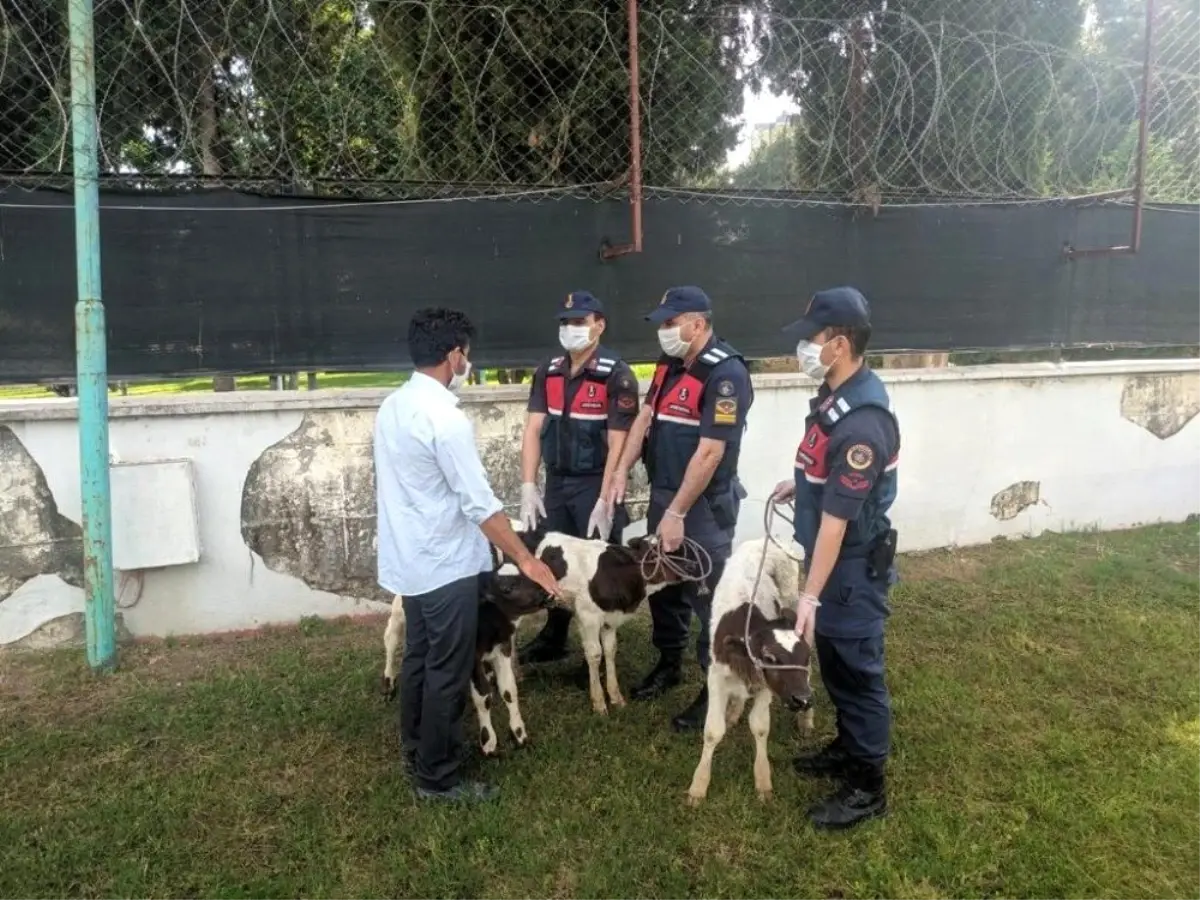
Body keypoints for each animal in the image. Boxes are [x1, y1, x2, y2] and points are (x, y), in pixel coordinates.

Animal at [523, 532, 686, 715]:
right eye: (653, 554)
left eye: (677, 549)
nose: (691, 567)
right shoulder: (588, 616)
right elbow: (595, 654)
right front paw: (599, 703)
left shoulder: (610, 618)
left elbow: (610, 650)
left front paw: (616, 698)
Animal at [686, 540, 816, 806]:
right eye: (770, 658)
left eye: (805, 657)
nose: (803, 699)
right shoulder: (716, 677)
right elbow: (713, 731)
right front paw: (699, 785)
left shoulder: (766, 686)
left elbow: (760, 727)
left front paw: (763, 780)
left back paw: (806, 718)